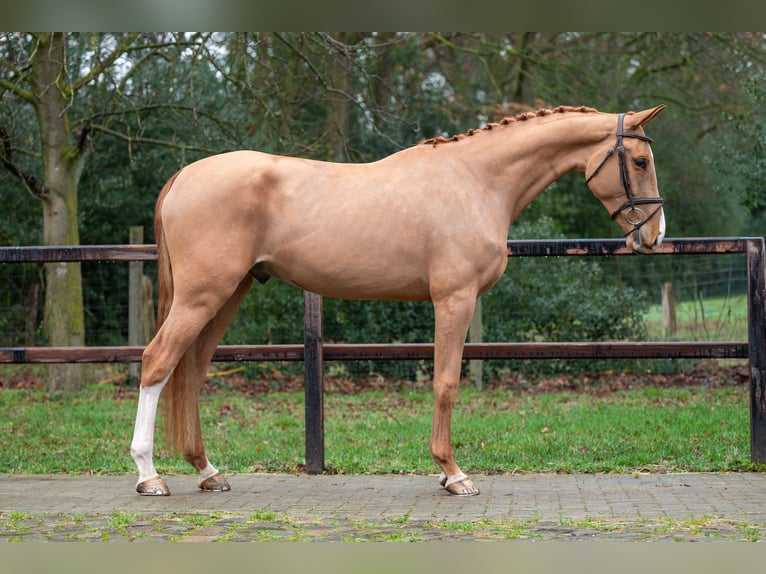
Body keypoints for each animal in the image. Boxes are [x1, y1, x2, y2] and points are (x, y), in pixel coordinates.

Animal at [130, 104, 667, 497]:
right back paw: (149, 476)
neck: (477, 180)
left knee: (191, 372)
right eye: (639, 162)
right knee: (157, 362)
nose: (654, 236)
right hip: (203, 295)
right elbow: (446, 384)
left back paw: (208, 471)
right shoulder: (454, 300)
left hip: (227, 294)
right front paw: (453, 474)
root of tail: (184, 175)